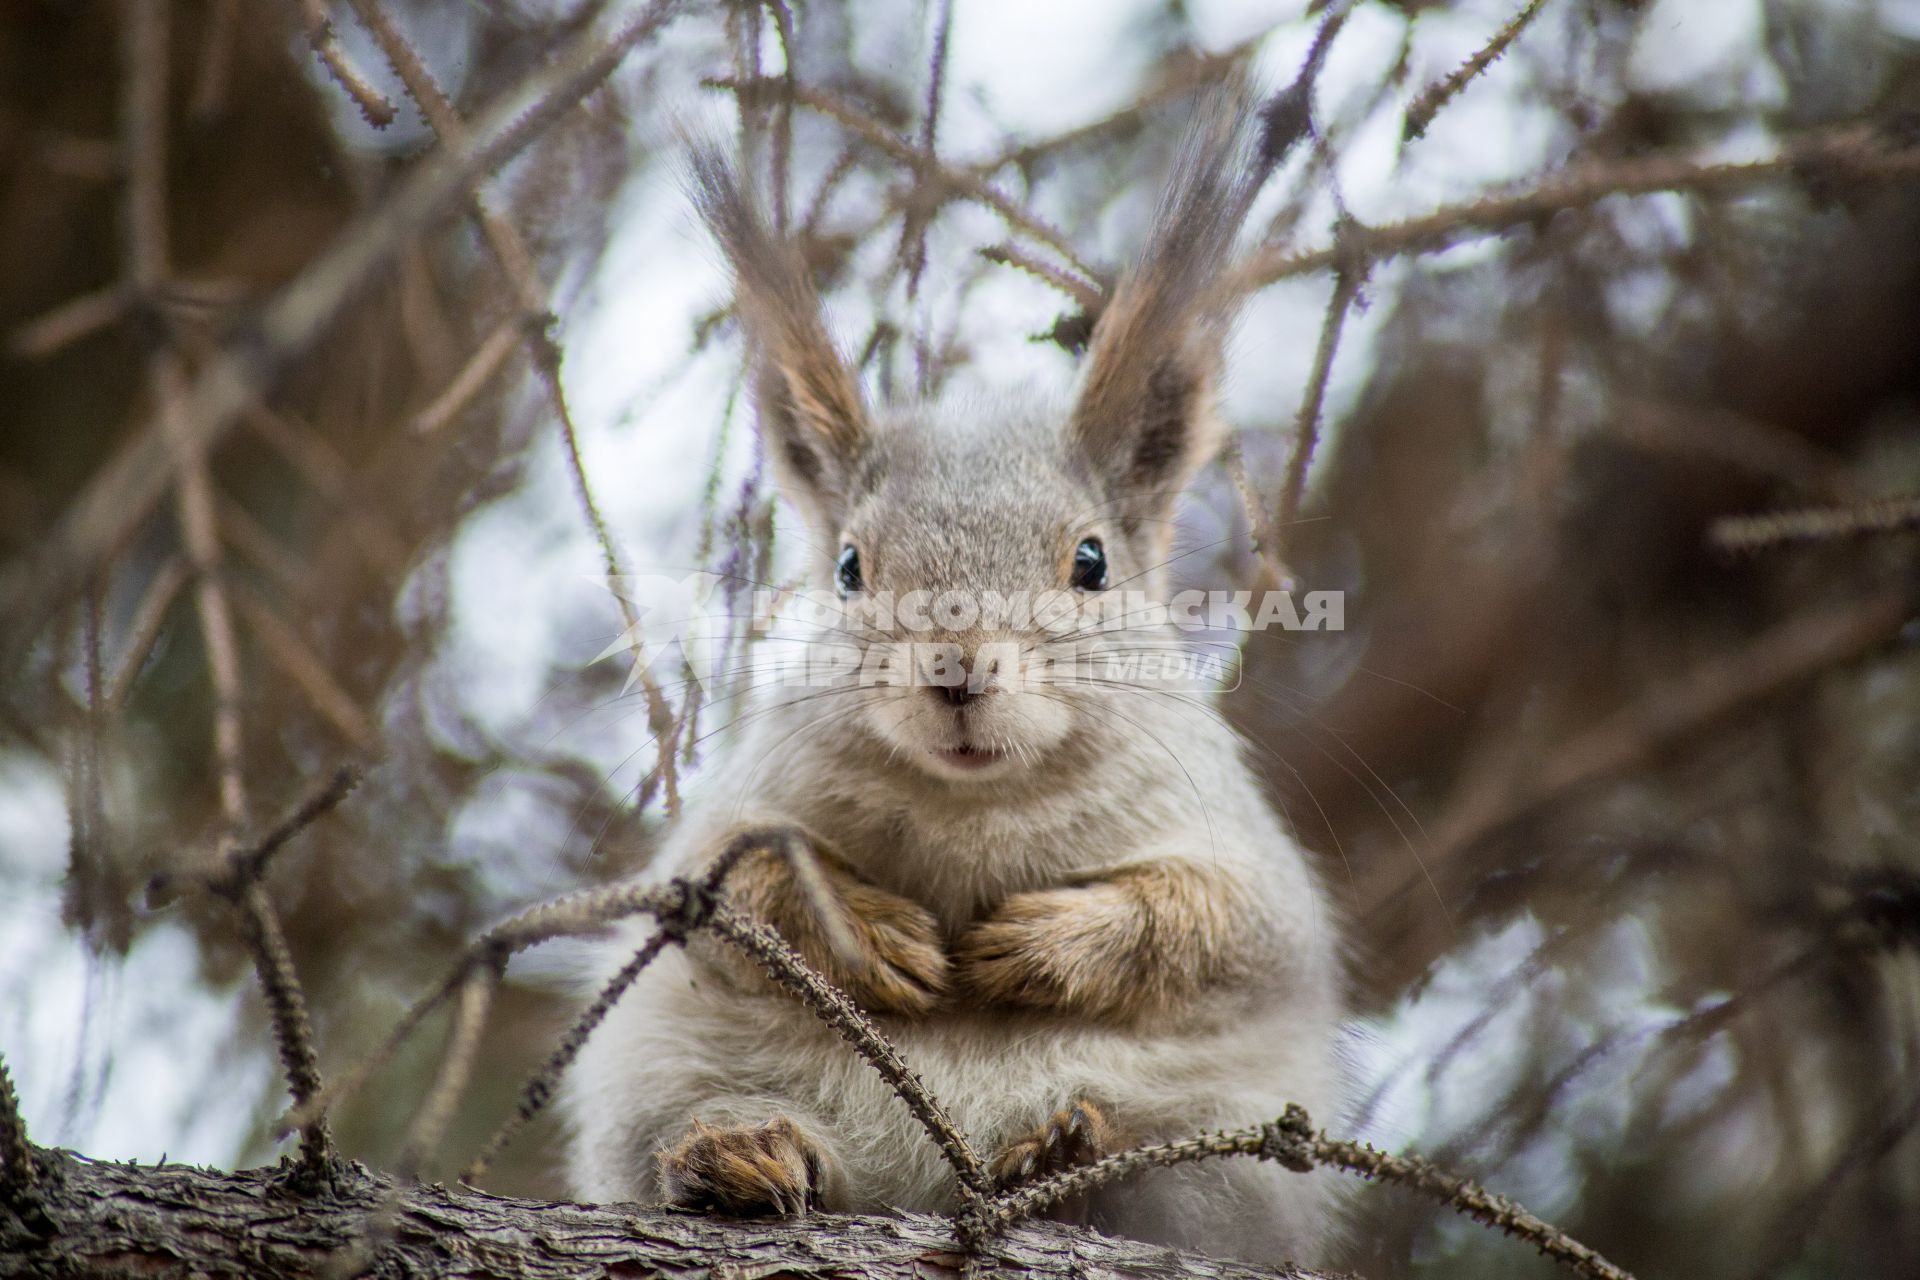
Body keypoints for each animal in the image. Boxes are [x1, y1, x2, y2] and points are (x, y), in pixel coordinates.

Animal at [564, 92, 1351, 1274]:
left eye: (1091, 561)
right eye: (849, 567)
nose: (956, 667)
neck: (975, 807)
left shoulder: (1251, 864)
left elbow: (1219, 923)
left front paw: (1037, 942)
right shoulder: (716, 835)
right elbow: (729, 890)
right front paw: (873, 935)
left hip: (1222, 1155)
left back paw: (1066, 1152)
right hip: (666, 1073)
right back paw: (741, 1154)